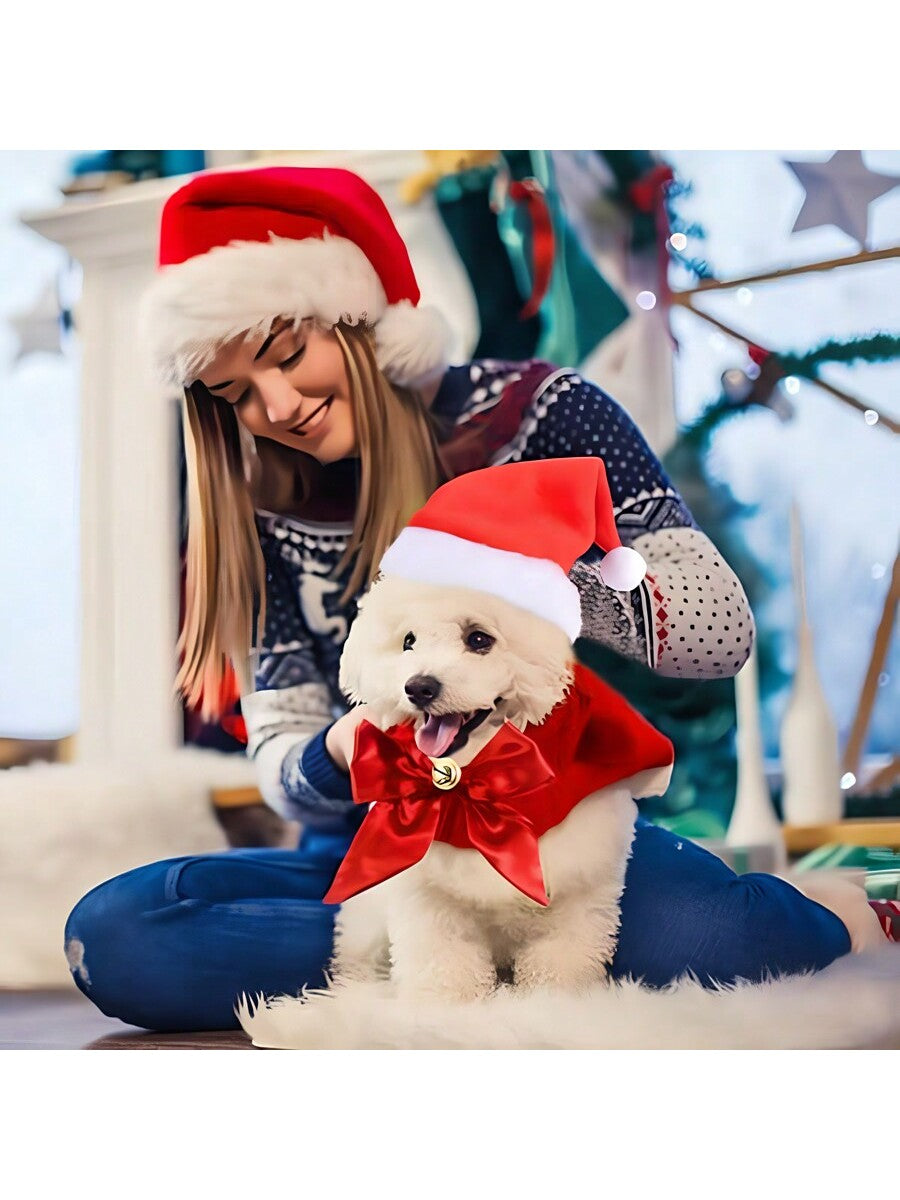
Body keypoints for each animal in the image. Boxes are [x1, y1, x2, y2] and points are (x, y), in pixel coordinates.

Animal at [328, 573, 648, 1003]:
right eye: (408, 641)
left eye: (479, 639)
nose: (418, 687)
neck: (482, 781)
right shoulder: (429, 897)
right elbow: (442, 959)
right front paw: (447, 1003)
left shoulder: (579, 891)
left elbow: (561, 962)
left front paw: (557, 1004)